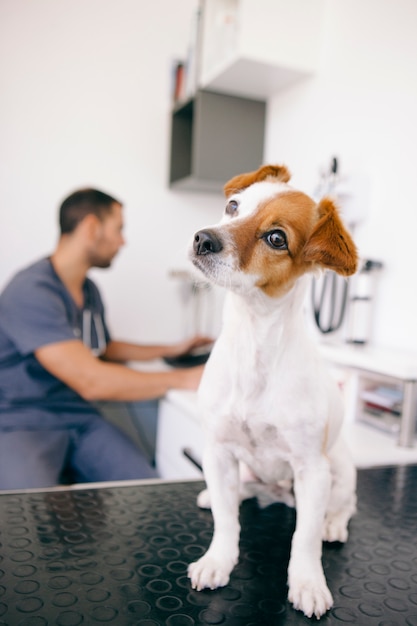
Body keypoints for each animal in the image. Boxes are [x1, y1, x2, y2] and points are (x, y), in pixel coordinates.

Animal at [187, 163, 356, 616]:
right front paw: (217, 560)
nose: (203, 238)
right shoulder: (219, 451)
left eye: (276, 238)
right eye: (233, 206)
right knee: (237, 494)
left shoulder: (312, 470)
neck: (254, 340)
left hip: (339, 470)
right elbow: (227, 521)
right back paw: (215, 496)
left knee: (344, 507)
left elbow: (305, 539)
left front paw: (308, 583)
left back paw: (334, 525)